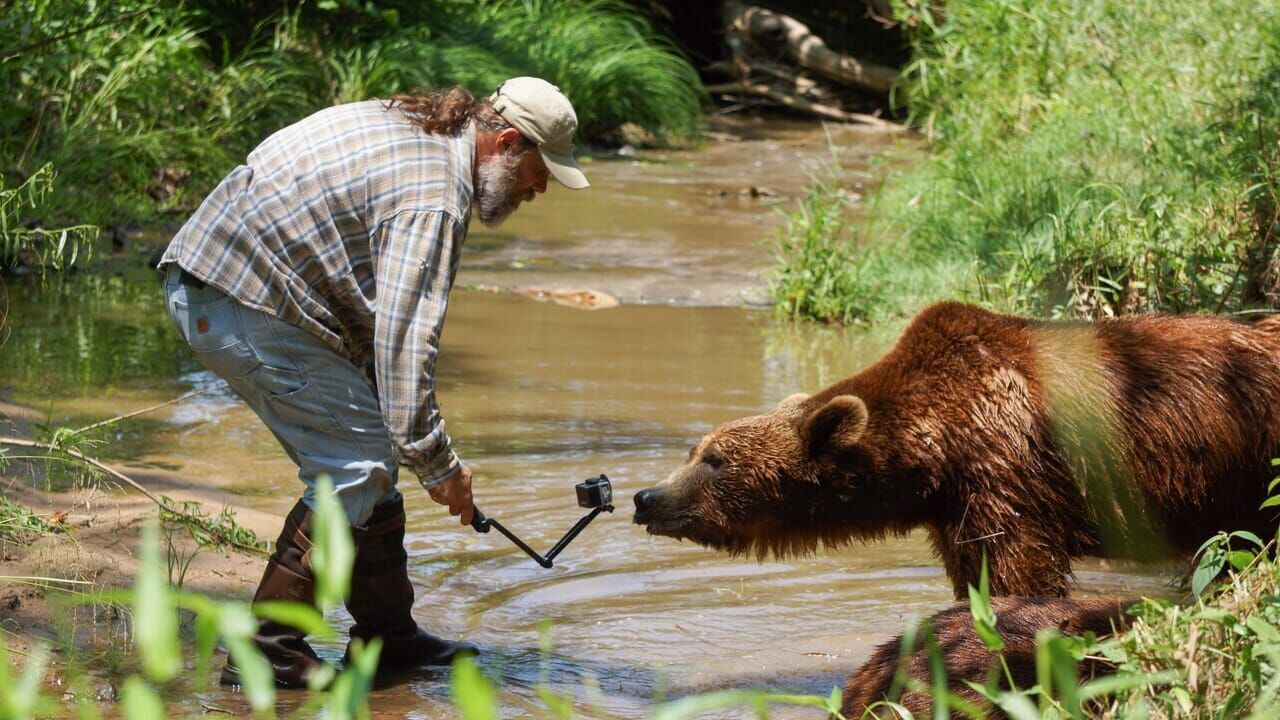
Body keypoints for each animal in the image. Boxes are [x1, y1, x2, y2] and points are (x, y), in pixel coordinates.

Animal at [634, 297, 1280, 594]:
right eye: (696, 451)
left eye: (714, 460)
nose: (646, 497)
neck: (933, 450)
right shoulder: (954, 508)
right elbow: (973, 575)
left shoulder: (1008, 469)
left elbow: (1019, 570)